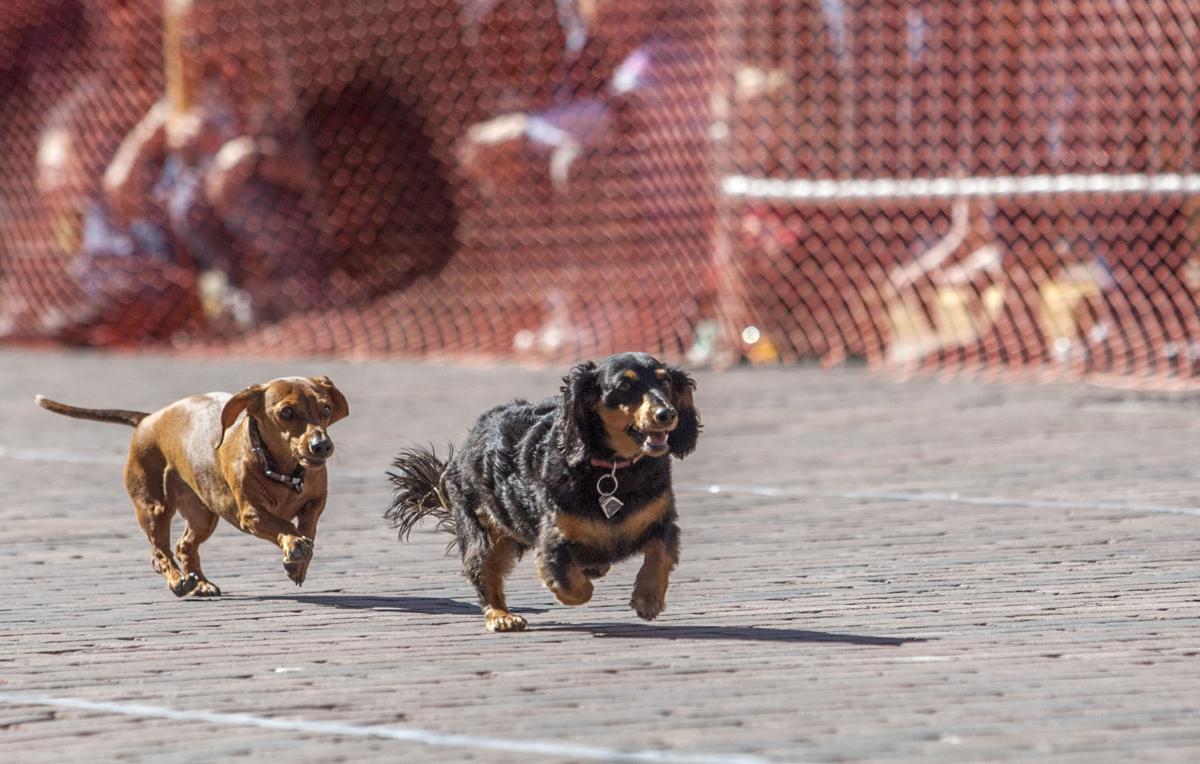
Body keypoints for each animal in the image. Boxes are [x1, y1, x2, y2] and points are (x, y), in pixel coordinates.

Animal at [34, 376, 350, 594]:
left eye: (325, 408)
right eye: (286, 412)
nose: (322, 445)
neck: (282, 471)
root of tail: (148, 419)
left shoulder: (315, 503)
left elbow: (307, 529)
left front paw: (297, 564)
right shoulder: (252, 515)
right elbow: (284, 525)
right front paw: (294, 546)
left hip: (203, 515)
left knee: (184, 545)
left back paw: (202, 584)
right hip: (154, 507)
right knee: (159, 553)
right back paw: (179, 581)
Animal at [388, 352, 700, 633]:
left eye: (666, 381)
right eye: (624, 385)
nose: (667, 414)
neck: (613, 471)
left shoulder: (663, 523)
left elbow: (659, 556)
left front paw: (647, 599)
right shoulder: (553, 538)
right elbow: (573, 584)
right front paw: (568, 588)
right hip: (484, 532)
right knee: (484, 573)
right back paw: (502, 616)